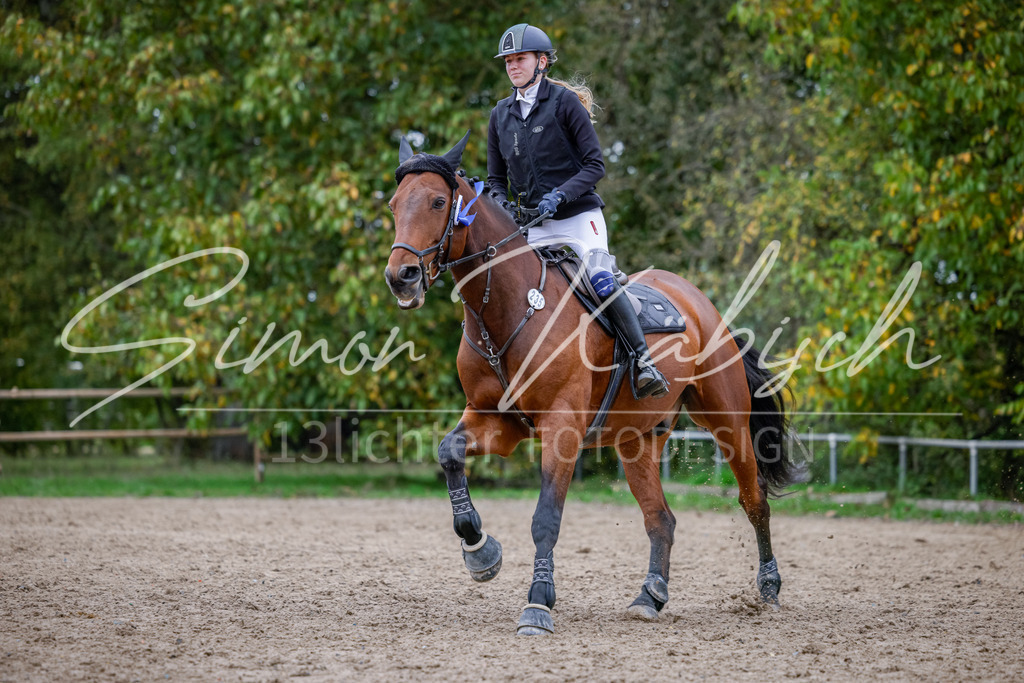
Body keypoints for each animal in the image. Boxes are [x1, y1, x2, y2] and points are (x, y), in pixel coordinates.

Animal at [384, 131, 805, 636]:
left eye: (437, 201)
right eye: (393, 204)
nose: (401, 277)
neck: (508, 307)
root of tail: (705, 306)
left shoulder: (561, 429)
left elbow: (546, 518)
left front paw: (538, 604)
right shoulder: (496, 422)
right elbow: (449, 454)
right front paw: (480, 552)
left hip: (727, 422)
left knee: (753, 500)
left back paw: (769, 590)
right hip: (637, 440)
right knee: (661, 519)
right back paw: (650, 596)